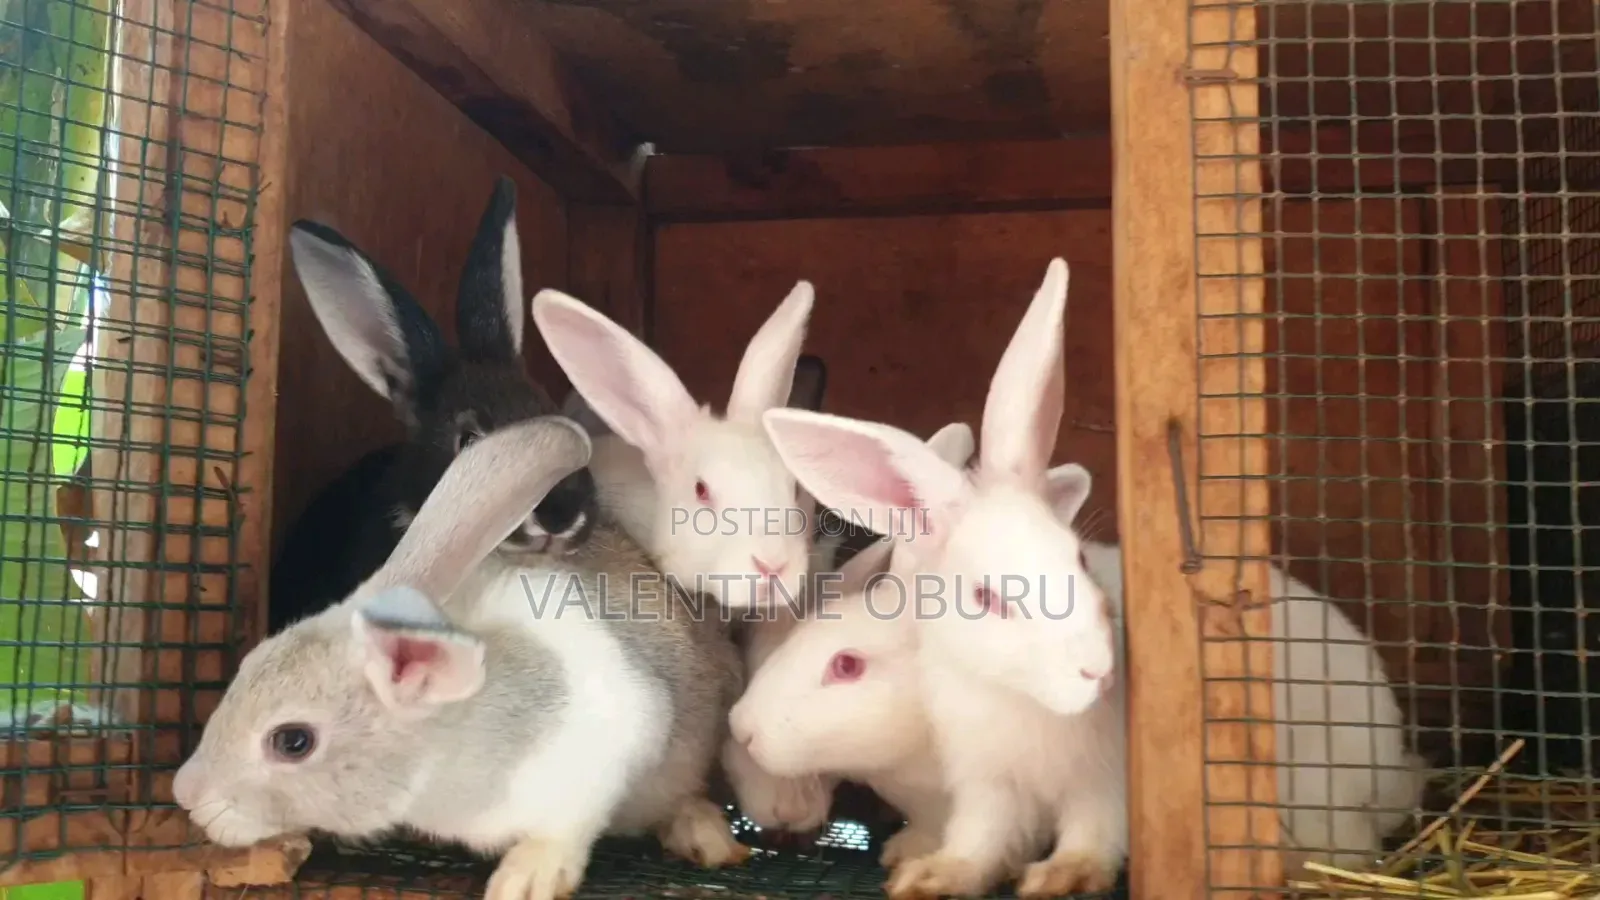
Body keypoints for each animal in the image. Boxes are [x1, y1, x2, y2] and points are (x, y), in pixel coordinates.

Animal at [173, 416, 751, 900]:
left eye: (292, 741)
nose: (186, 795)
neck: (445, 741)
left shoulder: (615, 742)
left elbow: (565, 828)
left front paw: (526, 880)